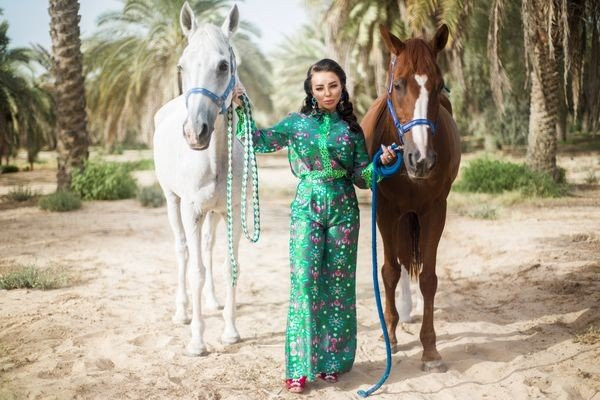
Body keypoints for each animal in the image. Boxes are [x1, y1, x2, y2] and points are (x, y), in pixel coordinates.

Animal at [154, 1, 243, 354]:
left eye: (223, 65)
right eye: (181, 66)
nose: (195, 133)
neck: (214, 158)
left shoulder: (232, 213)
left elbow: (228, 265)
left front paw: (230, 331)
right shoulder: (191, 211)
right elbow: (195, 271)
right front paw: (197, 341)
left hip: (213, 214)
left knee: (206, 248)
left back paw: (212, 302)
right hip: (172, 202)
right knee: (183, 251)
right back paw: (182, 311)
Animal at [358, 24, 462, 372]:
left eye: (439, 85)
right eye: (399, 84)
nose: (422, 160)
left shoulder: (434, 210)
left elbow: (428, 278)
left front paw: (430, 350)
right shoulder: (386, 211)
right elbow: (389, 271)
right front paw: (389, 335)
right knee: (401, 262)